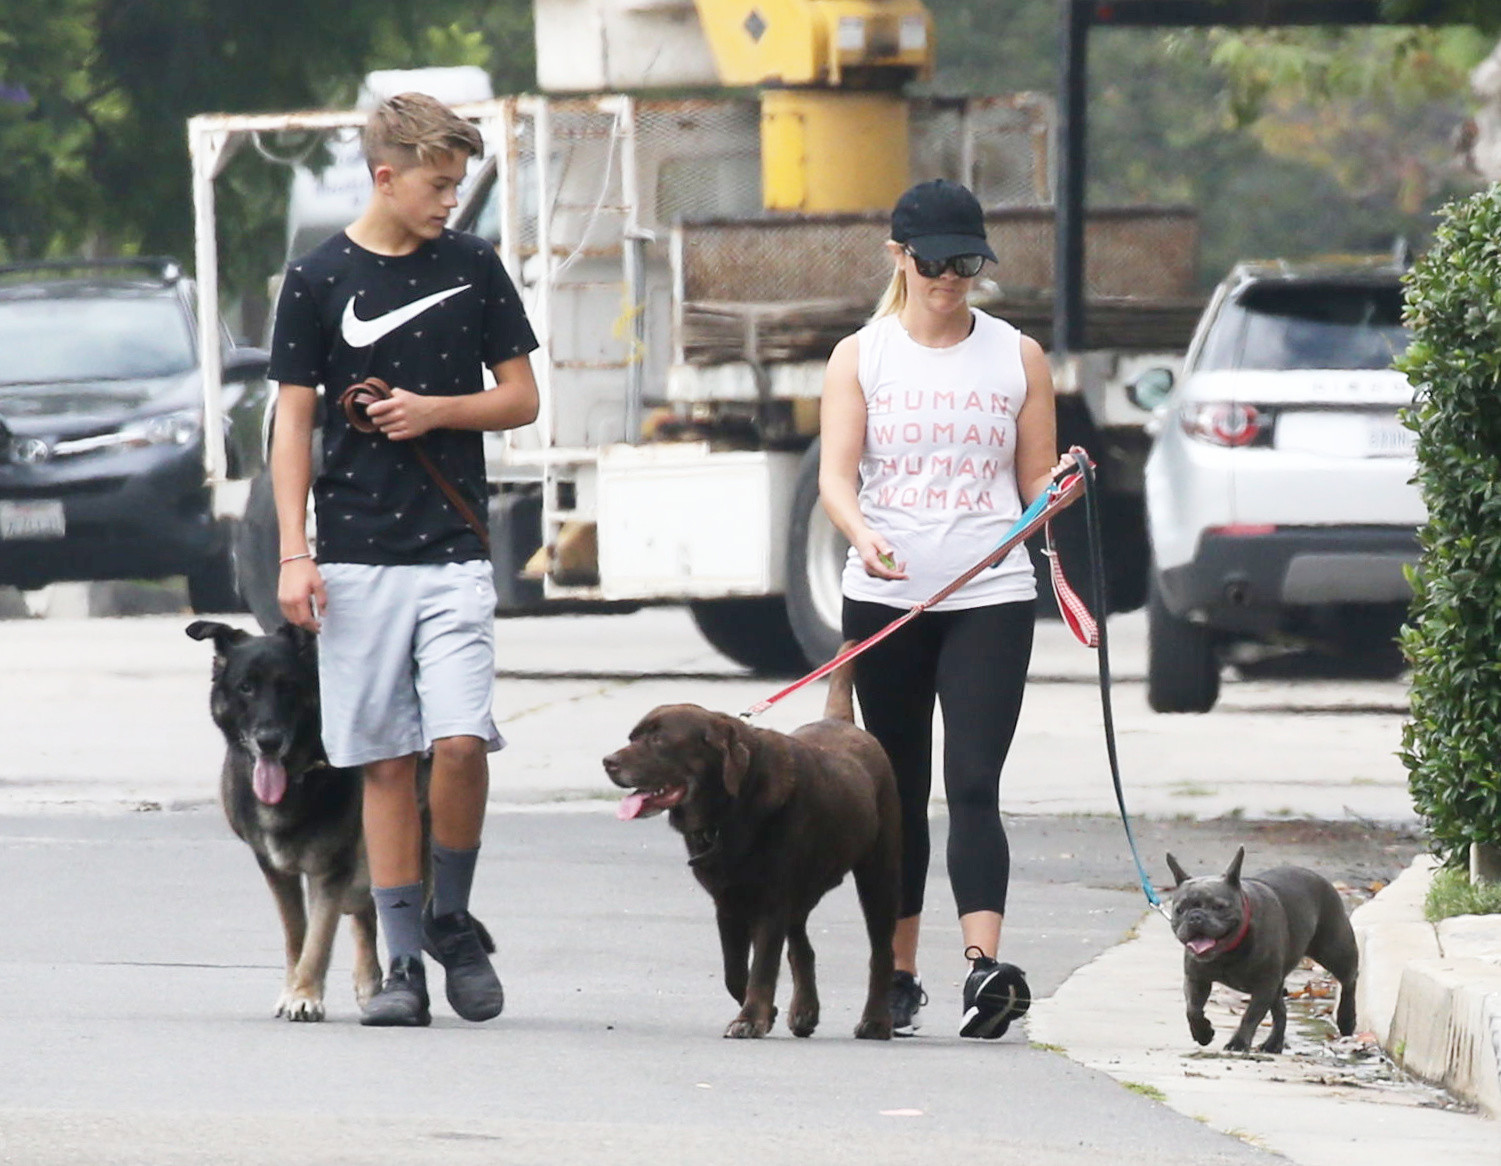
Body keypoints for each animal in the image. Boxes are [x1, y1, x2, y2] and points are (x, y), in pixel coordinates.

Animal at [187, 620, 382, 1021]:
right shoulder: (277, 870)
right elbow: (297, 936)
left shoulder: (331, 871)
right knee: (364, 910)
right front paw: (293, 989)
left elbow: (318, 939)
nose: (269, 741)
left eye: (288, 686)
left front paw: (305, 995)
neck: (297, 778)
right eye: (246, 687)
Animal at [602, 654, 901, 1040]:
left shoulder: (772, 901)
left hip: (879, 874)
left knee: (881, 951)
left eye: (658, 740)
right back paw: (804, 1010)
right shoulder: (727, 902)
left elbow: (762, 965)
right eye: (633, 737)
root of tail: (841, 722)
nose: (608, 761)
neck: (729, 810)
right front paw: (765, 1011)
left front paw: (750, 1018)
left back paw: (876, 1020)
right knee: (802, 947)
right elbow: (735, 971)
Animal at [1165, 847, 1359, 1053]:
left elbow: (1251, 1015)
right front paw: (1203, 1033)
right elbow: (1193, 1009)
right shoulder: (1197, 980)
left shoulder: (1264, 986)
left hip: (1335, 951)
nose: (1195, 917)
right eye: (1179, 910)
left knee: (1349, 979)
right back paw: (1273, 1043)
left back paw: (1347, 1018)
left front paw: (1238, 1043)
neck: (1227, 951)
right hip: (1278, 983)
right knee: (1281, 1010)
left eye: (1218, 906)